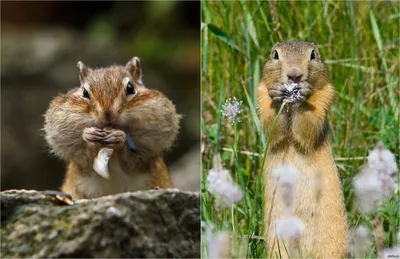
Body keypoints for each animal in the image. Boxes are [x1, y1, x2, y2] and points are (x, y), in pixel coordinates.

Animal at [44, 57, 180, 199]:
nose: (107, 114)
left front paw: (119, 137)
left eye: (130, 88)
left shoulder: (145, 155)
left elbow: (133, 159)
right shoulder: (79, 160)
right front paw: (89, 135)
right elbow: (85, 158)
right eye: (84, 92)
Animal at [258, 42, 348, 258]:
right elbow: (271, 125)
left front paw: (304, 94)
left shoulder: (325, 97)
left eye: (313, 55)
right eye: (275, 54)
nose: (295, 75)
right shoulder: (261, 96)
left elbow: (310, 126)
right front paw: (277, 96)